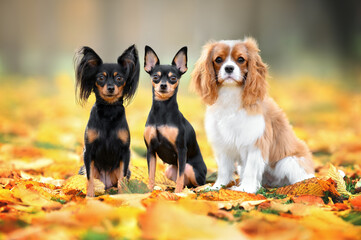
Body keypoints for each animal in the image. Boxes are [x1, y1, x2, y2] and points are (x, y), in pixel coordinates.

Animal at [74, 45, 139, 197]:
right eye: (101, 77)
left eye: (119, 78)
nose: (110, 87)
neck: (109, 110)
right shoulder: (88, 151)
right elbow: (89, 178)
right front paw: (89, 196)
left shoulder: (125, 152)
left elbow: (122, 178)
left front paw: (123, 195)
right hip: (83, 169)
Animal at [143, 46, 205, 193]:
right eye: (155, 77)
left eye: (173, 78)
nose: (163, 85)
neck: (162, 110)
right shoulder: (150, 150)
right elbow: (151, 174)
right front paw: (149, 191)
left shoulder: (181, 150)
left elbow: (181, 176)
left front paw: (178, 194)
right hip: (169, 170)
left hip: (191, 168)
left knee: (196, 183)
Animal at [190, 38, 314, 195]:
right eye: (218, 59)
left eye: (241, 59)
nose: (229, 68)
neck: (230, 94)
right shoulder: (223, 145)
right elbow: (224, 170)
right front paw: (218, 187)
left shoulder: (256, 143)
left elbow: (251, 169)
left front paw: (246, 189)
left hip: (288, 161)